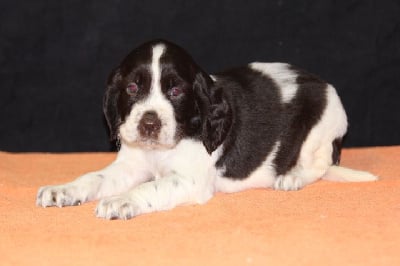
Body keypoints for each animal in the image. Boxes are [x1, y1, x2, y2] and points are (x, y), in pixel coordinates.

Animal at [36, 38, 376, 219]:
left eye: (175, 91)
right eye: (132, 87)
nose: (149, 123)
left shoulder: (190, 181)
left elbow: (149, 187)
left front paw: (122, 201)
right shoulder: (130, 165)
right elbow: (94, 177)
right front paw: (62, 190)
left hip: (323, 123)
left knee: (319, 165)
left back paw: (291, 177)